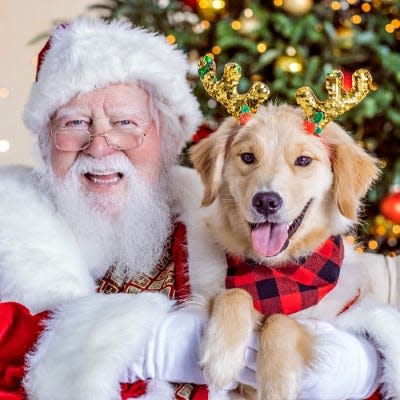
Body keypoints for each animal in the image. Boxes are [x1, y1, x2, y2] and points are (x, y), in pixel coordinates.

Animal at [188, 104, 400, 400]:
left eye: (303, 160)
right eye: (248, 157)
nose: (266, 201)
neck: (277, 272)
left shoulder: (330, 319)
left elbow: (281, 319)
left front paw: (278, 382)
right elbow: (234, 292)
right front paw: (222, 356)